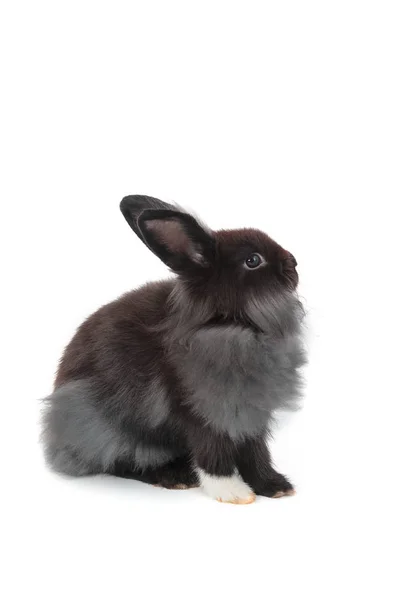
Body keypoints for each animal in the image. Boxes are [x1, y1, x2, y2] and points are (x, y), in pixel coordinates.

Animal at [42, 196, 306, 502]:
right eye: (253, 260)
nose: (293, 262)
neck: (234, 327)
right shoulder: (199, 410)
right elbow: (212, 450)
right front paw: (233, 492)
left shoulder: (250, 415)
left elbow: (256, 453)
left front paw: (274, 486)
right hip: (97, 423)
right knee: (119, 462)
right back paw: (173, 477)